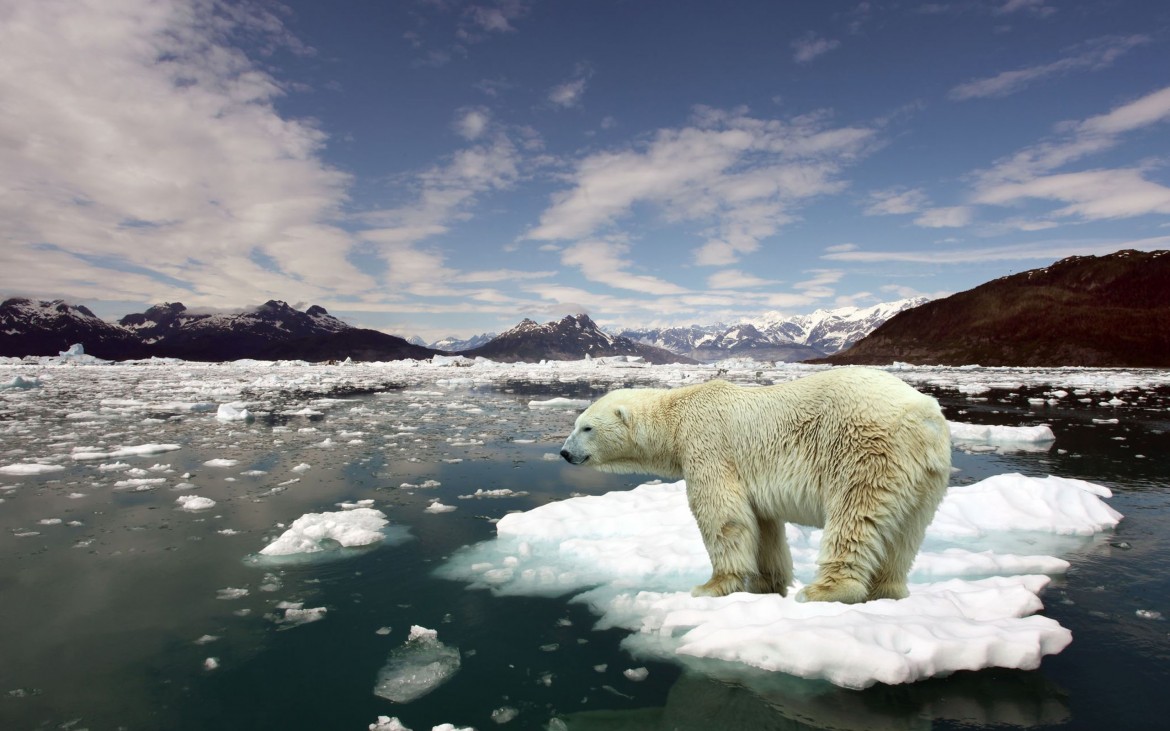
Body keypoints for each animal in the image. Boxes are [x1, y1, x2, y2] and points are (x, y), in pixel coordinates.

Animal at [556, 367, 950, 603]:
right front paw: (767, 584)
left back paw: (824, 590)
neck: (677, 416)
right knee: (906, 534)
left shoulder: (708, 444)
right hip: (925, 477)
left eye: (586, 427)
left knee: (855, 516)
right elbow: (763, 526)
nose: (564, 452)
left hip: (865, 451)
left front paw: (711, 586)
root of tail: (924, 416)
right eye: (576, 424)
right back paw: (887, 591)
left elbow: (722, 515)